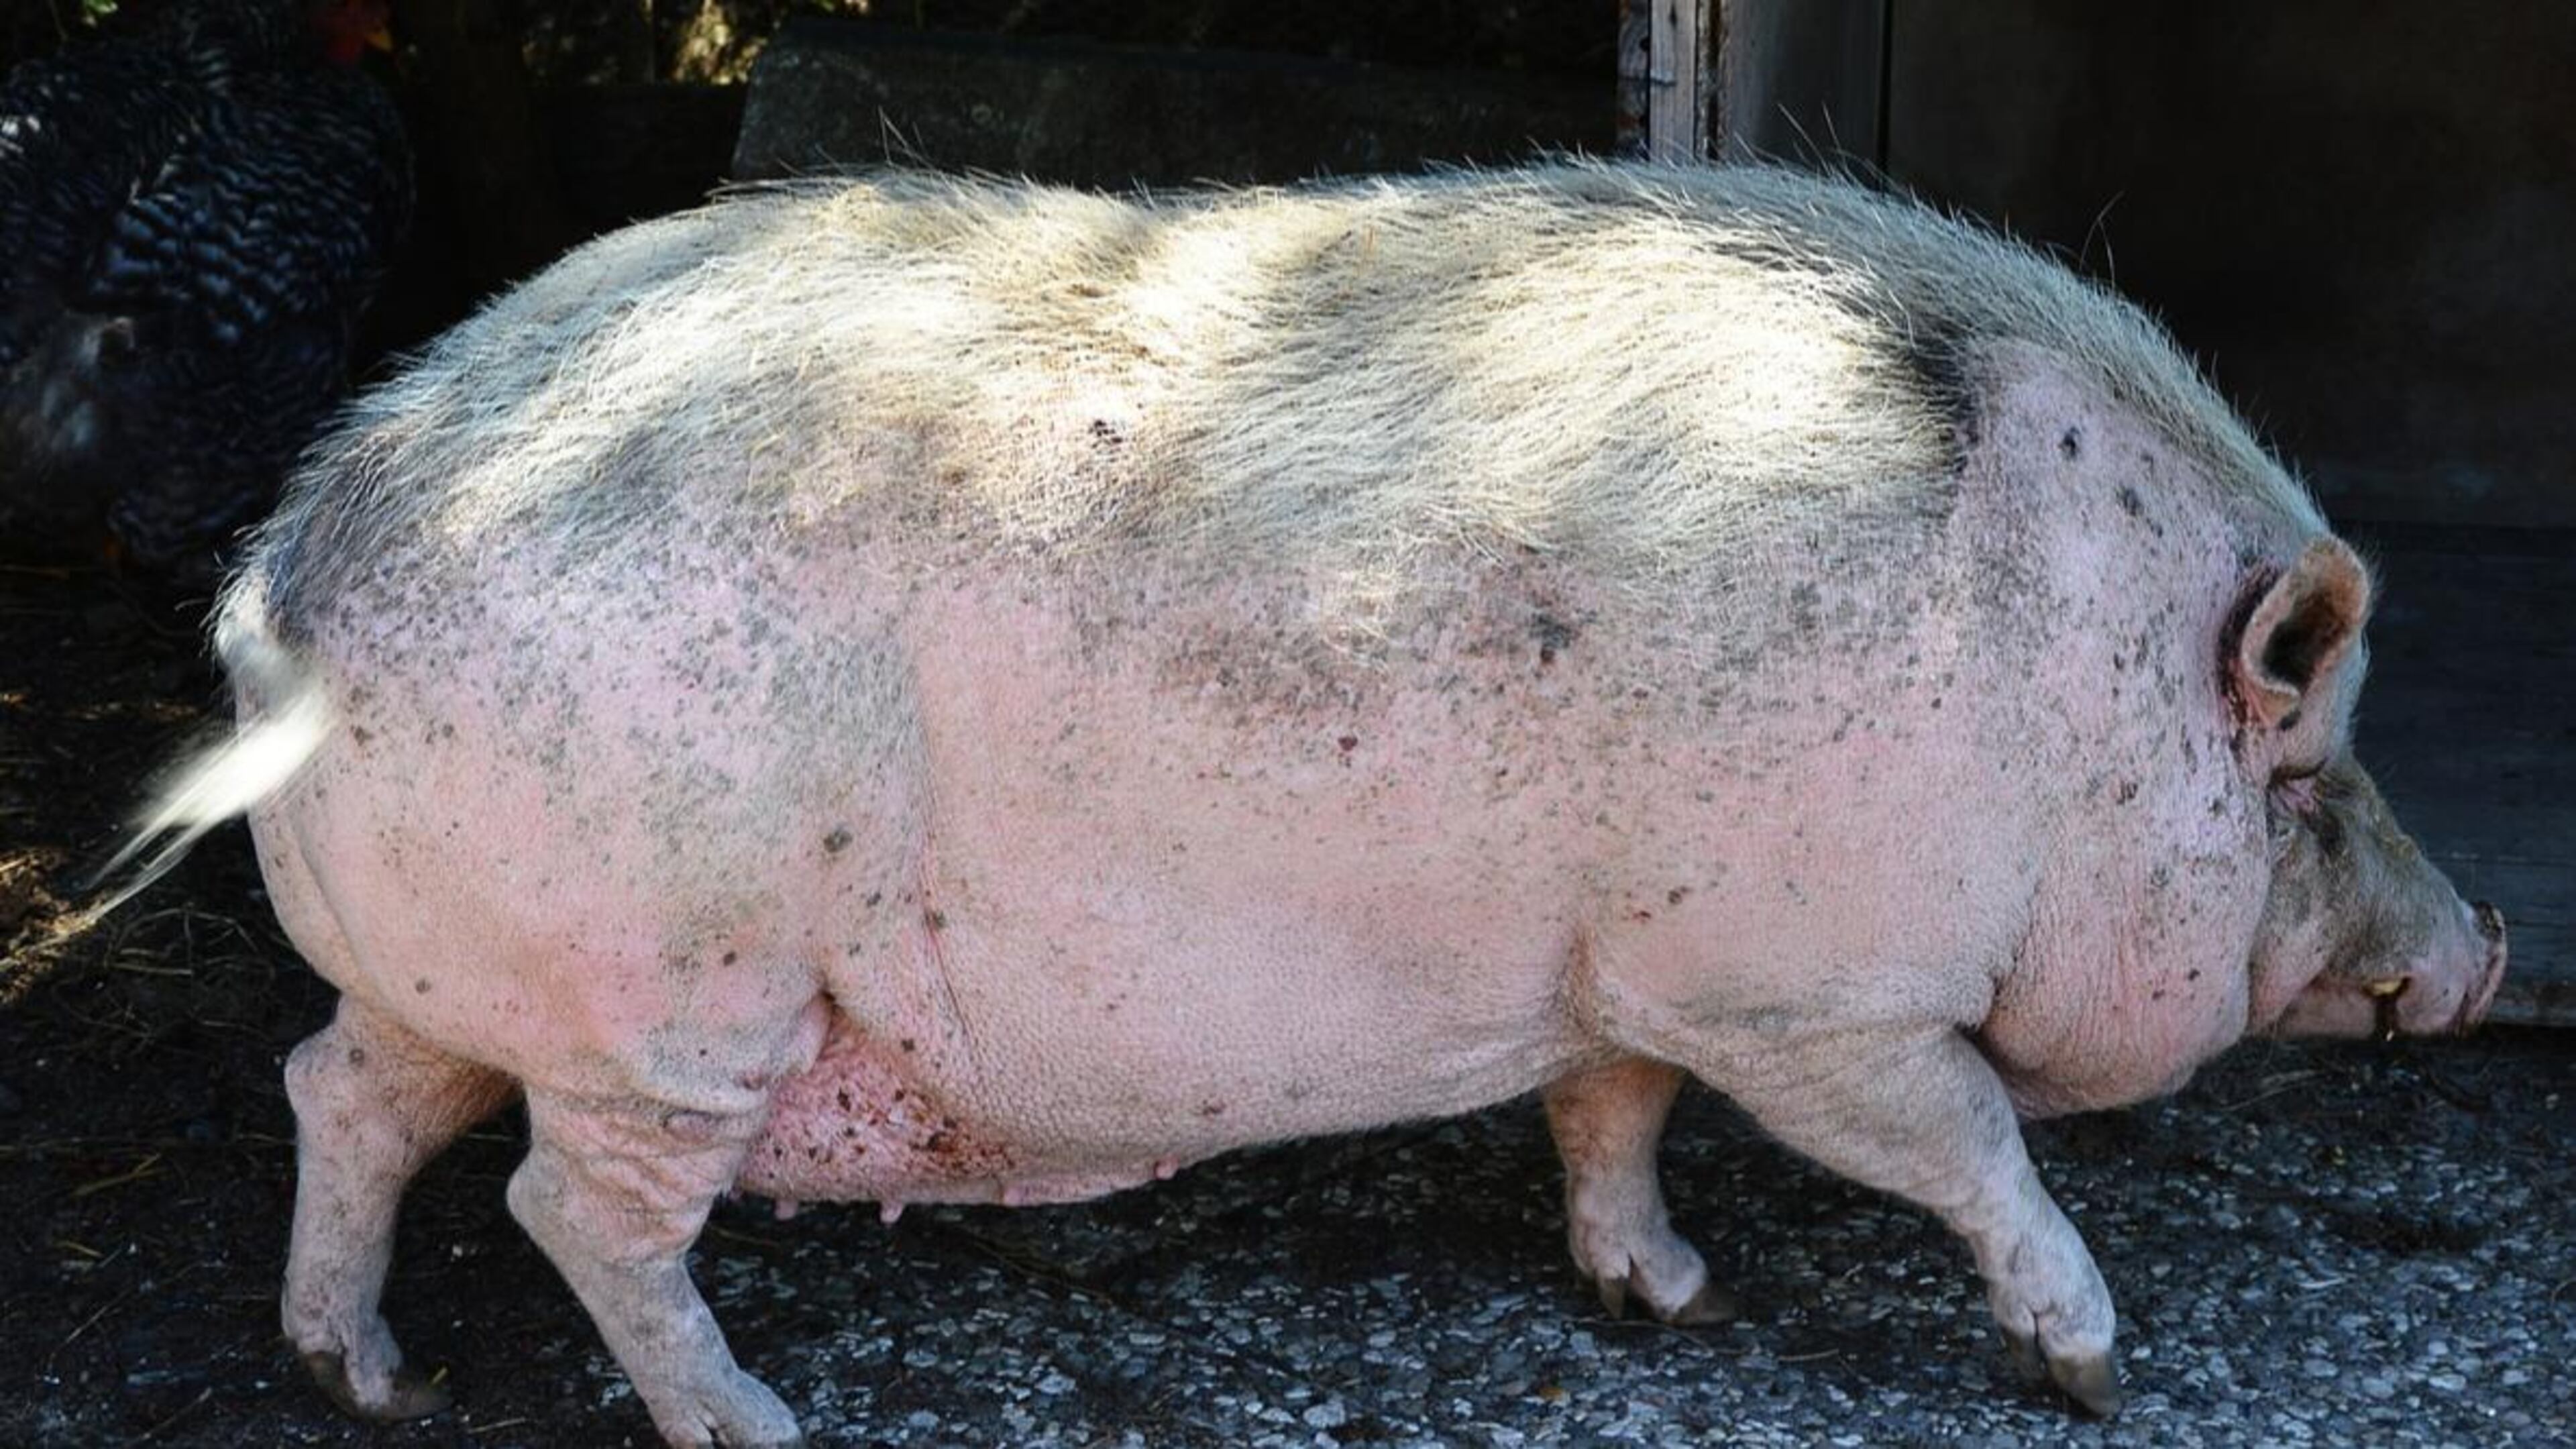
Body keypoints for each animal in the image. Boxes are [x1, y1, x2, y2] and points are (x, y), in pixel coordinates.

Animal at [106, 162, 2506, 1446]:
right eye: (2306, 768)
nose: (2485, 947)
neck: (2056, 679)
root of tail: (291, 568)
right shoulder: (1805, 991)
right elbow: (1971, 1145)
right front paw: (2094, 1370)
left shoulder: (1625, 966)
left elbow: (1604, 1115)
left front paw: (1668, 1304)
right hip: (673, 995)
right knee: (571, 1211)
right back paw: (754, 1424)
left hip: (474, 972)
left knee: (345, 1094)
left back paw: (368, 1381)